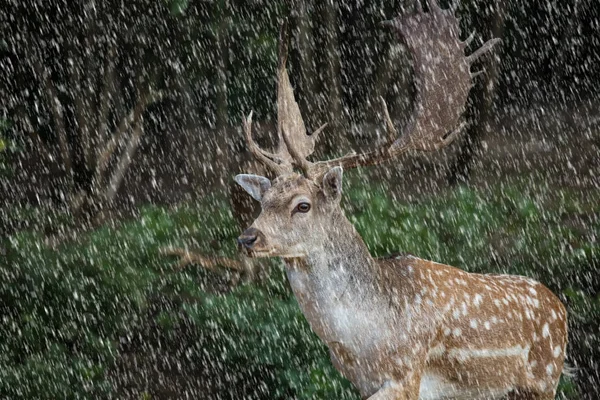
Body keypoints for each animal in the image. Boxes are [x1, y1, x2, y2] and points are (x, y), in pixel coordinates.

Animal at [233, 1, 568, 398]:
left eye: (303, 204)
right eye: (263, 200)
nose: (248, 237)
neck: (366, 340)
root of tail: (561, 309)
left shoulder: (408, 371)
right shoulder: (361, 381)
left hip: (543, 379)